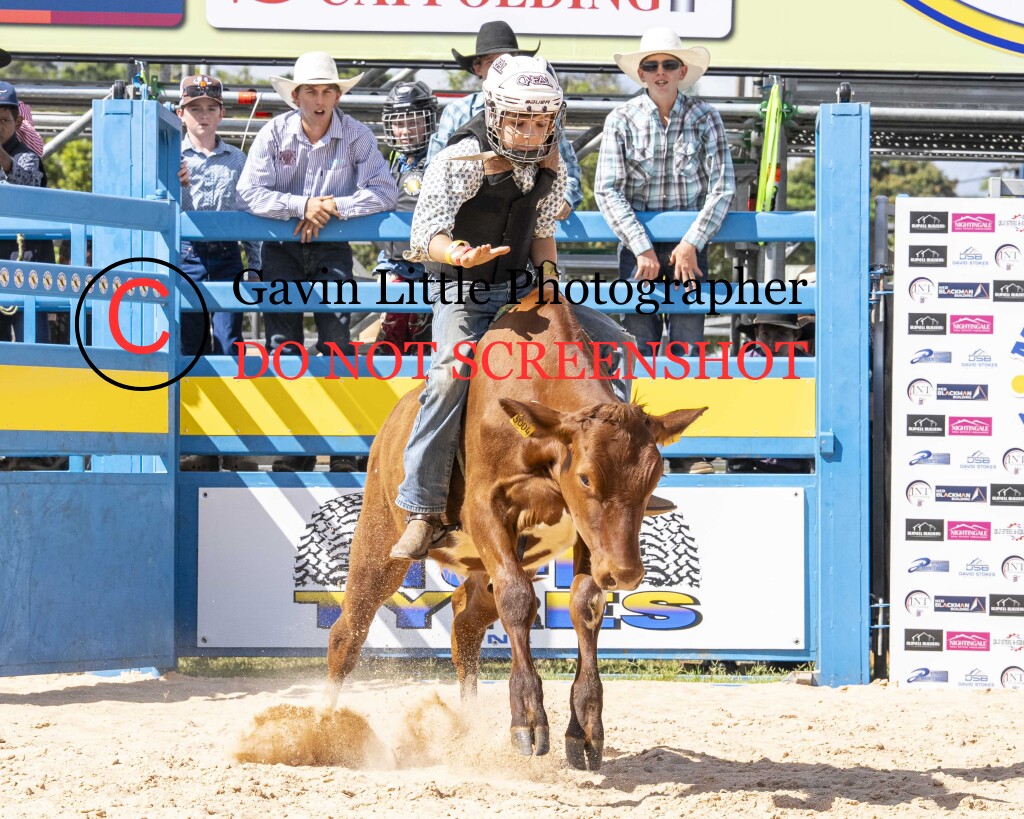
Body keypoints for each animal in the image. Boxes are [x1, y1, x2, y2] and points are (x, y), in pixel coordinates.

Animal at [323, 287, 706, 770]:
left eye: (653, 477)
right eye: (585, 478)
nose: (625, 573)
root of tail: (392, 424)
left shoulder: (587, 536)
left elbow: (585, 605)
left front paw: (585, 729)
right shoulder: (487, 510)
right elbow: (519, 601)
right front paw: (527, 719)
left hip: (491, 564)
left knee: (465, 626)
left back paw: (468, 730)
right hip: (379, 541)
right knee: (347, 632)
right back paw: (320, 732)